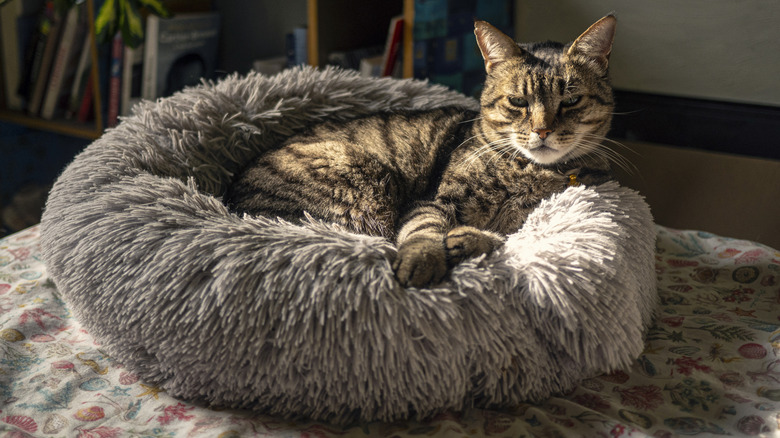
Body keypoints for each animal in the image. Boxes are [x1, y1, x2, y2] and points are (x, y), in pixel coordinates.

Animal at [227, 14, 620, 288]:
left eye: (570, 101)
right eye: (518, 102)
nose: (542, 130)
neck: (526, 171)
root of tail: (233, 203)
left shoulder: (531, 219)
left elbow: (510, 237)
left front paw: (470, 240)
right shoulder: (434, 201)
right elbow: (423, 231)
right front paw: (424, 260)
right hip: (365, 179)